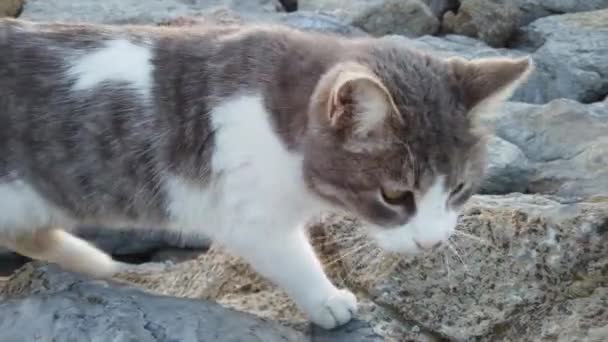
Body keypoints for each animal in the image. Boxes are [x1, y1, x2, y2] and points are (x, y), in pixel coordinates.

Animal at [0, 18, 532, 328]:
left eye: (458, 189)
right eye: (395, 195)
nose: (432, 243)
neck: (280, 117)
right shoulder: (250, 212)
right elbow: (291, 256)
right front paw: (327, 301)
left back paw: (98, 264)